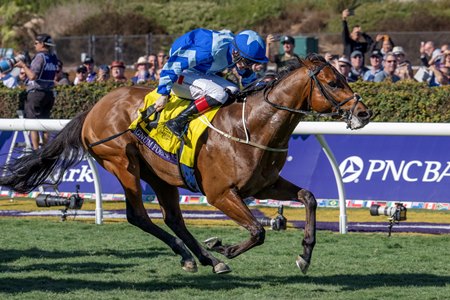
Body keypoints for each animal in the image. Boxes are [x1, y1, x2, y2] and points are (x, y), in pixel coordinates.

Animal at [0, 55, 370, 276]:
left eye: (345, 76)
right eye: (334, 82)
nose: (364, 113)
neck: (253, 126)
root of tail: (94, 107)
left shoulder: (264, 184)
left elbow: (308, 197)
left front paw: (305, 254)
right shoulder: (220, 193)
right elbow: (258, 231)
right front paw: (224, 247)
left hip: (161, 176)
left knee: (173, 218)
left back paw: (203, 259)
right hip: (122, 162)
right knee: (139, 215)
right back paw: (199, 256)